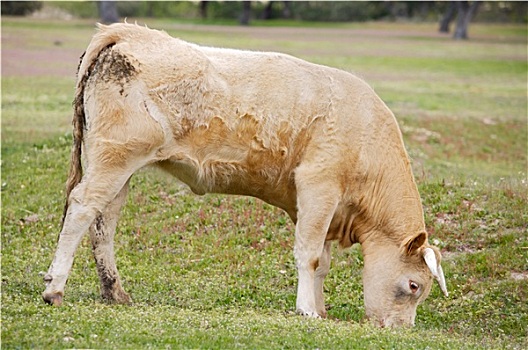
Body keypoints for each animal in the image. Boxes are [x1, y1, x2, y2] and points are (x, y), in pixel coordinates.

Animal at [42, 23, 446, 326]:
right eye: (414, 286)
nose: (401, 330)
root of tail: (131, 33)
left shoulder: (322, 207)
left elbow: (322, 262)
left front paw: (319, 308)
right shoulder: (319, 186)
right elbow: (310, 255)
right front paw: (307, 310)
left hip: (118, 165)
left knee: (103, 222)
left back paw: (114, 292)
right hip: (115, 157)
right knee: (82, 207)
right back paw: (54, 288)